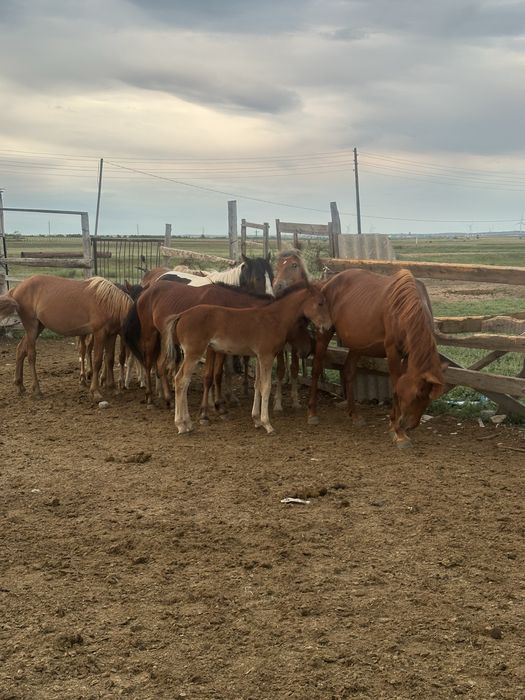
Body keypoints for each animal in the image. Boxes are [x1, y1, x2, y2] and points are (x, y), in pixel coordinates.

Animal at [0, 274, 133, 400]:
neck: (111, 304)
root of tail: (17, 288)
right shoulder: (100, 333)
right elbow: (98, 361)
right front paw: (95, 392)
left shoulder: (112, 334)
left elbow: (109, 359)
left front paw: (112, 388)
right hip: (31, 327)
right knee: (31, 355)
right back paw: (37, 390)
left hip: (39, 326)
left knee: (21, 349)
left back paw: (19, 385)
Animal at [163, 282, 332, 435]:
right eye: (320, 303)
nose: (329, 326)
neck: (274, 318)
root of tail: (181, 315)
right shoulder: (266, 356)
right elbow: (266, 387)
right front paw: (267, 424)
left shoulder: (258, 357)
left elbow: (257, 385)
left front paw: (256, 420)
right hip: (194, 353)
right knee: (181, 381)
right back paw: (181, 425)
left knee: (181, 380)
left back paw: (188, 423)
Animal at [306, 268, 445, 447]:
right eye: (417, 395)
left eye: (428, 398)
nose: (409, 426)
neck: (404, 310)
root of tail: (327, 283)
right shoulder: (393, 351)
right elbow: (395, 386)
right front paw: (398, 432)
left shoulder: (407, 355)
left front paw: (393, 425)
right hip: (324, 333)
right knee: (316, 369)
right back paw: (312, 412)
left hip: (357, 345)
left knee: (348, 372)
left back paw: (354, 415)